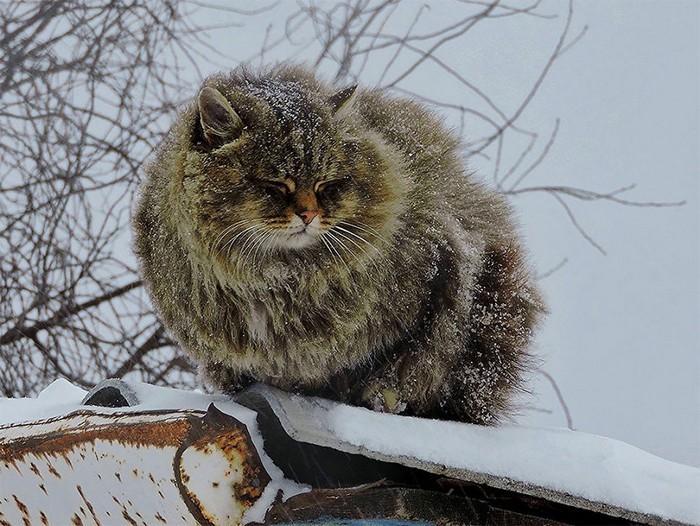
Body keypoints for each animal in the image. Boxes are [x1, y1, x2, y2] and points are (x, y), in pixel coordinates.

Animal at [134, 64, 544, 426]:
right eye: (275, 185)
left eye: (326, 185)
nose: (308, 215)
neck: (275, 277)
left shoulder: (439, 283)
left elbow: (407, 364)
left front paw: (383, 395)